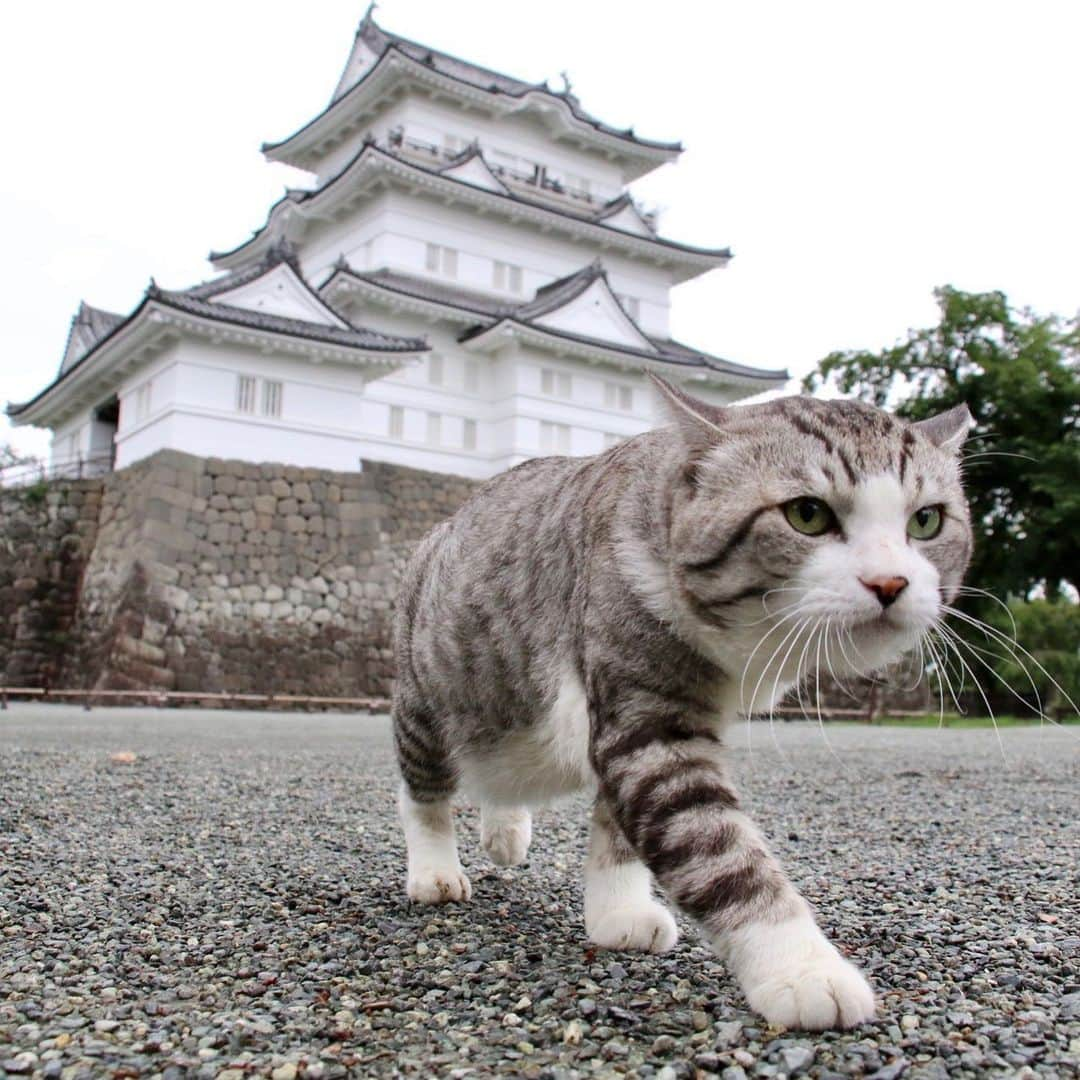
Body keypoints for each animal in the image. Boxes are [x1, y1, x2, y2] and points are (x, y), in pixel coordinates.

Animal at [393, 378, 976, 1028]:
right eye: (807, 513)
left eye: (926, 520)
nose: (890, 582)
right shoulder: (645, 721)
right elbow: (718, 849)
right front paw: (800, 967)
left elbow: (616, 833)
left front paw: (617, 914)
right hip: (432, 694)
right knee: (422, 786)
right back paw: (436, 869)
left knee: (503, 776)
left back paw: (505, 828)